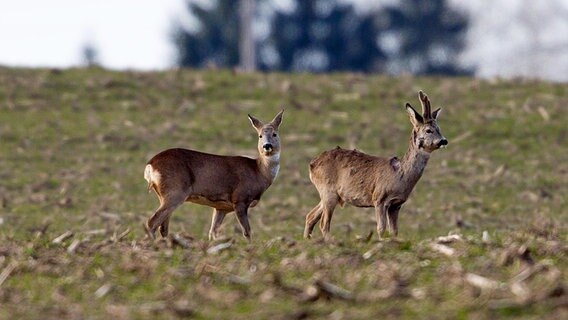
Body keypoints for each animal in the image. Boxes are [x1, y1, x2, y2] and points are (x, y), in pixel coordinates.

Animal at [142, 110, 284, 240]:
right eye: (260, 136)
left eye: (274, 134)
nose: (267, 146)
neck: (258, 171)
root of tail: (150, 165)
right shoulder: (240, 199)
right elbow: (247, 232)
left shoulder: (221, 207)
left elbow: (213, 232)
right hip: (175, 191)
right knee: (152, 222)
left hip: (165, 195)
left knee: (163, 227)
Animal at [304, 91, 446, 239]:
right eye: (429, 130)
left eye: (439, 129)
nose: (444, 141)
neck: (400, 175)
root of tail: (312, 165)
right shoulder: (379, 198)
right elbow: (381, 228)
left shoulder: (396, 204)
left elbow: (394, 231)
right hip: (328, 190)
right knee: (323, 224)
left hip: (330, 194)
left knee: (310, 216)